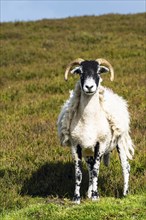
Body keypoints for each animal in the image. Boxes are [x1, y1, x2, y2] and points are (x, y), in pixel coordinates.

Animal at [57, 57, 135, 204]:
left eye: (98, 71)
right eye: (80, 72)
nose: (89, 87)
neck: (89, 121)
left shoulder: (101, 144)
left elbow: (95, 171)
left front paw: (95, 196)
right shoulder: (76, 146)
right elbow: (79, 173)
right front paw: (76, 198)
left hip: (120, 142)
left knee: (125, 167)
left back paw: (125, 193)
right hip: (88, 151)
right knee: (89, 167)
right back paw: (88, 193)